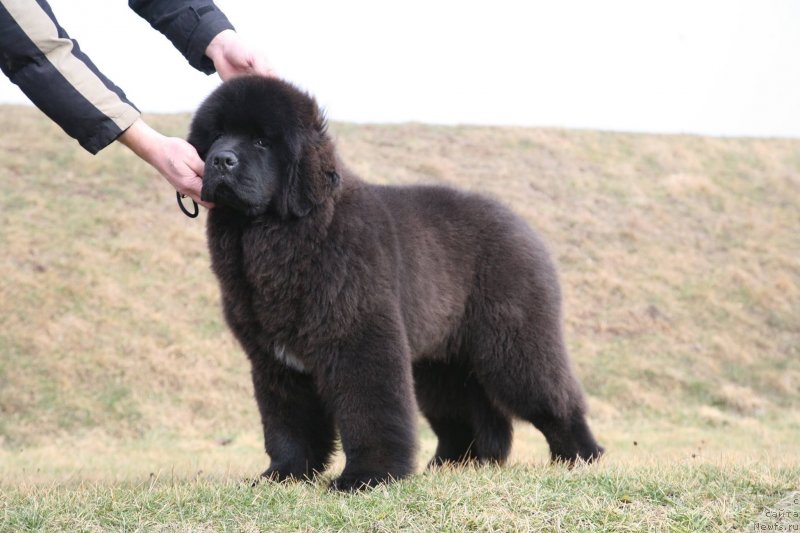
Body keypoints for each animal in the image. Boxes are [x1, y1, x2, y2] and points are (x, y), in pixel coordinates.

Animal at [188, 76, 604, 490]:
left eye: (261, 141)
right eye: (218, 135)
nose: (221, 160)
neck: (283, 236)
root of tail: (524, 227)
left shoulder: (358, 337)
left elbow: (370, 410)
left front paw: (367, 476)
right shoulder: (274, 360)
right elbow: (288, 423)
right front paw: (284, 475)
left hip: (513, 345)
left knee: (554, 398)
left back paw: (581, 457)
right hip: (442, 363)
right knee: (472, 417)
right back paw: (457, 465)